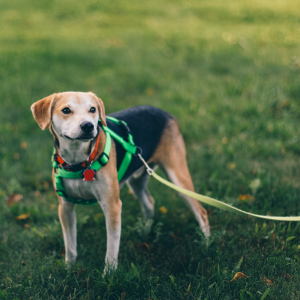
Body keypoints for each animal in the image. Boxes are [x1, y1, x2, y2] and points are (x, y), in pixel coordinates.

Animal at [29, 91, 209, 274]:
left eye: (92, 109)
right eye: (66, 110)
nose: (88, 126)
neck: (79, 161)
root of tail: (164, 112)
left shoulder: (112, 205)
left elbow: (112, 246)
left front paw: (109, 274)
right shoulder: (65, 207)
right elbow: (70, 245)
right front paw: (69, 269)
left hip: (177, 176)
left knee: (201, 211)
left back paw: (205, 243)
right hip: (137, 181)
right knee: (149, 202)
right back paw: (146, 230)